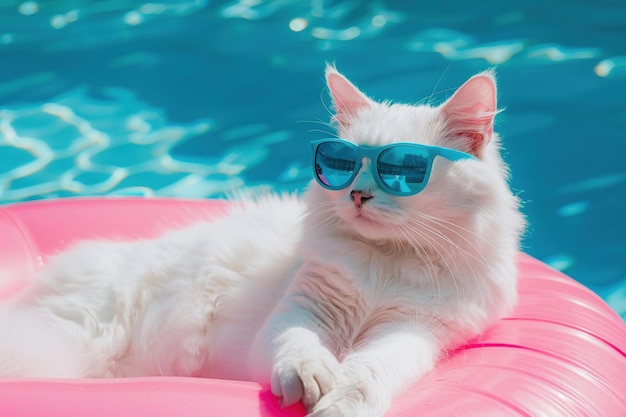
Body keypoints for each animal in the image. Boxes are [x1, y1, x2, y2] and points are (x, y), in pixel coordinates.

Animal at [0, 66, 520, 416]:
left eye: (403, 170)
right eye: (341, 164)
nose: (357, 195)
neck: (385, 262)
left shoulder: (414, 330)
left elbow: (370, 372)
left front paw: (341, 402)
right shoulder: (302, 308)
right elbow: (298, 345)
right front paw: (311, 378)